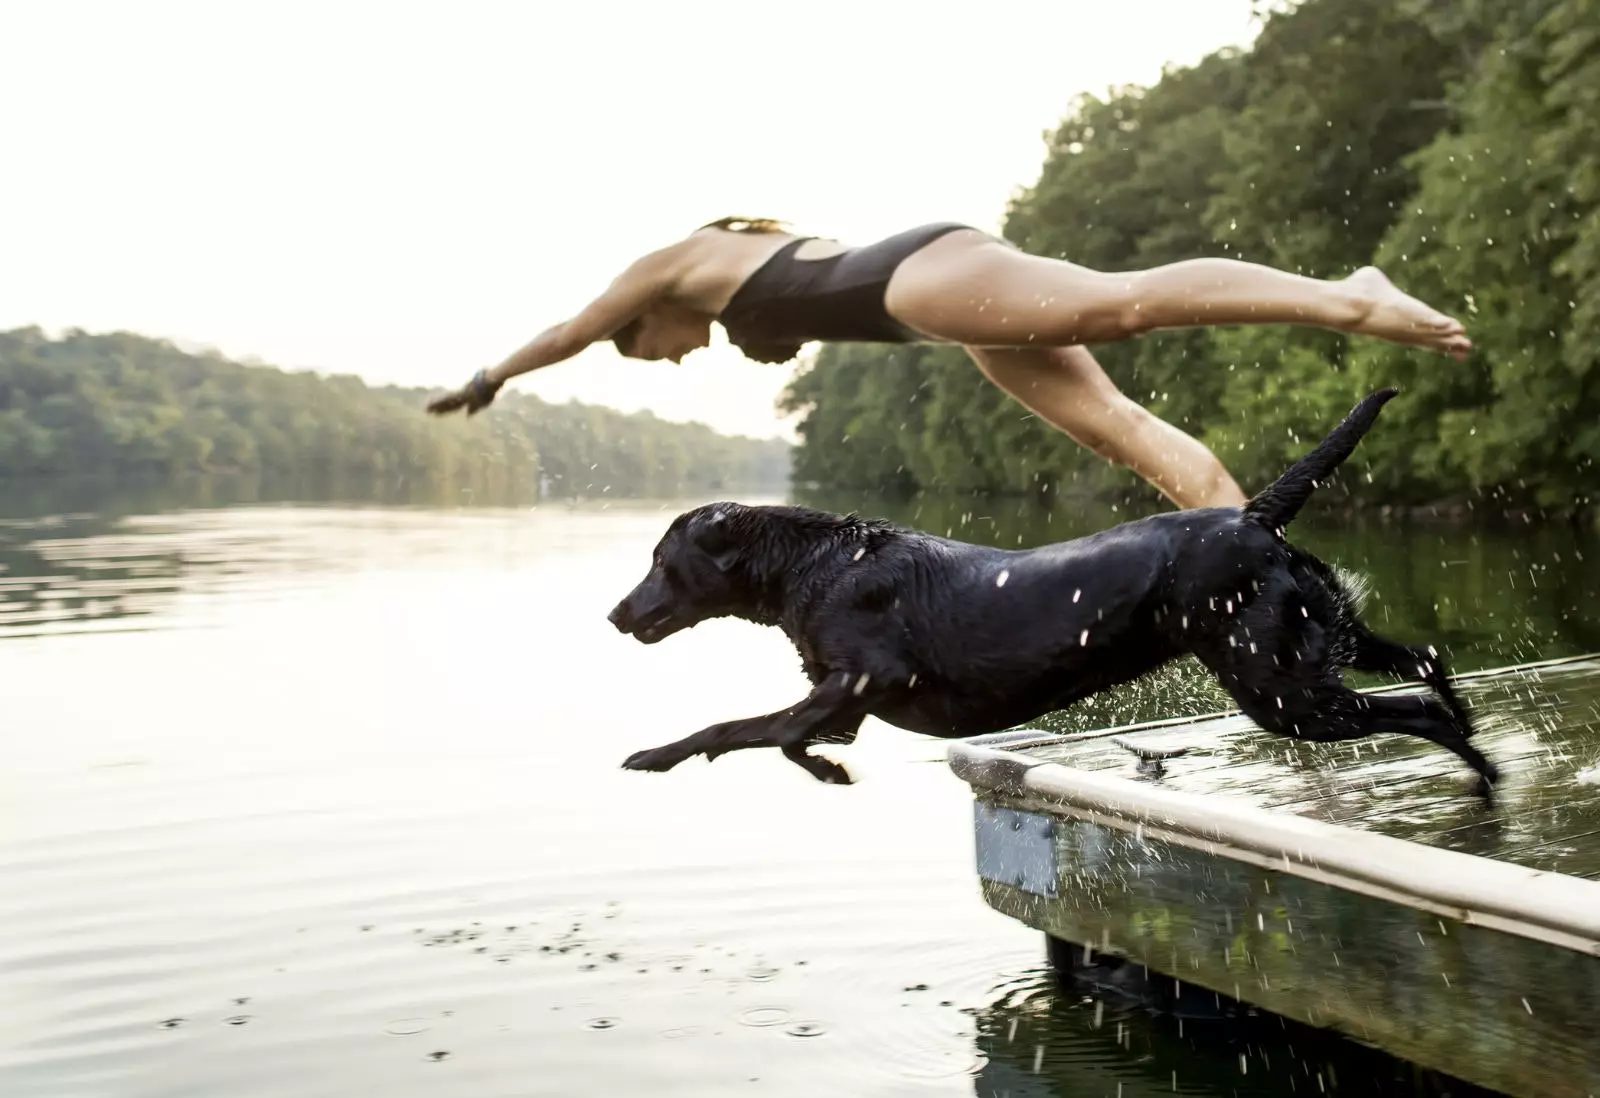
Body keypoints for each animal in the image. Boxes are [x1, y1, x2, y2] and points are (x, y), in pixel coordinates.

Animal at [604, 392, 1491, 797]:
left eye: (660, 559)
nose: (616, 613)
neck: (819, 562)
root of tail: (1251, 514)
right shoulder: (844, 700)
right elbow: (777, 733)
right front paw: (825, 768)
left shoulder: (862, 680)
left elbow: (746, 728)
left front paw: (659, 754)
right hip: (1317, 643)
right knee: (1426, 659)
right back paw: (1478, 745)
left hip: (1281, 688)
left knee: (1419, 707)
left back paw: (1482, 775)